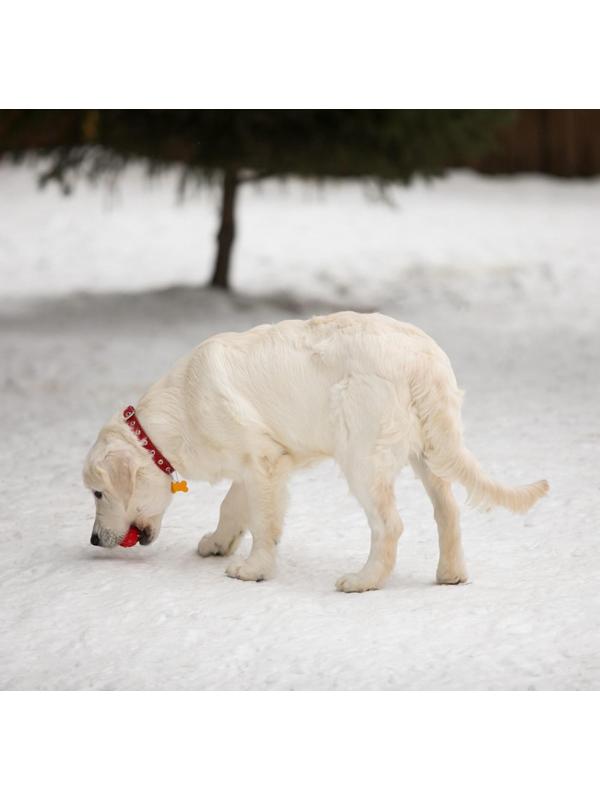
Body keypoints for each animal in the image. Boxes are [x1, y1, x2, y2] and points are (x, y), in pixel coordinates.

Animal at [83, 310, 548, 592]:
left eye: (98, 493)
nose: (93, 539)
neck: (178, 412)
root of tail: (422, 359)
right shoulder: (257, 461)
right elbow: (233, 506)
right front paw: (218, 542)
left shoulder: (263, 462)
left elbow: (263, 522)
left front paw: (253, 570)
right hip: (428, 450)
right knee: (447, 512)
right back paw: (450, 574)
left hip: (362, 455)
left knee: (390, 525)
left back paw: (364, 580)